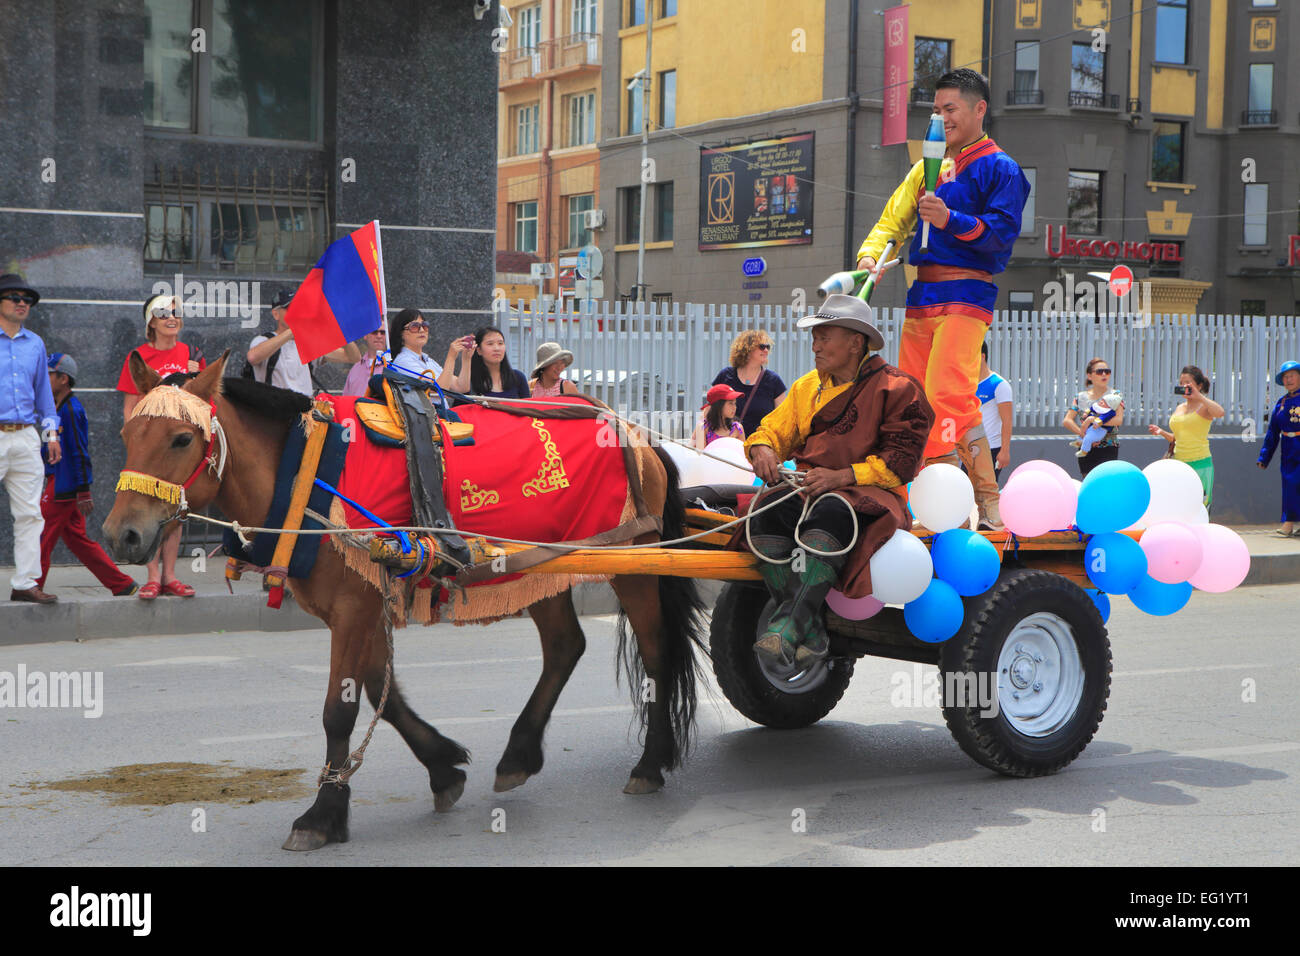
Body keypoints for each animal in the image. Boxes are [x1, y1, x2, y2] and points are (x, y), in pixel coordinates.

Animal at [98, 351, 712, 853]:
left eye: (181, 439)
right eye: (128, 433)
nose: (121, 535)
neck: (306, 474)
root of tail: (631, 429)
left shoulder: (354, 607)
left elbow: (340, 709)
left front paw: (322, 814)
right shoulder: (362, 603)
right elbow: (380, 693)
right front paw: (442, 767)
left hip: (635, 561)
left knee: (657, 656)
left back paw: (650, 763)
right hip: (539, 563)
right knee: (565, 646)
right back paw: (519, 754)